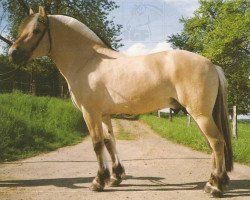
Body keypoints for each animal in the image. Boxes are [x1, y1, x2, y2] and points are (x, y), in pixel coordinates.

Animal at [9, 7, 232, 198]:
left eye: (36, 30)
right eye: (21, 29)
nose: (12, 54)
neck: (87, 61)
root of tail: (212, 65)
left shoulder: (90, 112)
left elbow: (97, 144)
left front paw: (98, 181)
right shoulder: (104, 114)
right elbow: (110, 142)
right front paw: (115, 176)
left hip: (200, 115)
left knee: (216, 142)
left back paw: (215, 186)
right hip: (203, 115)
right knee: (214, 145)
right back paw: (214, 181)